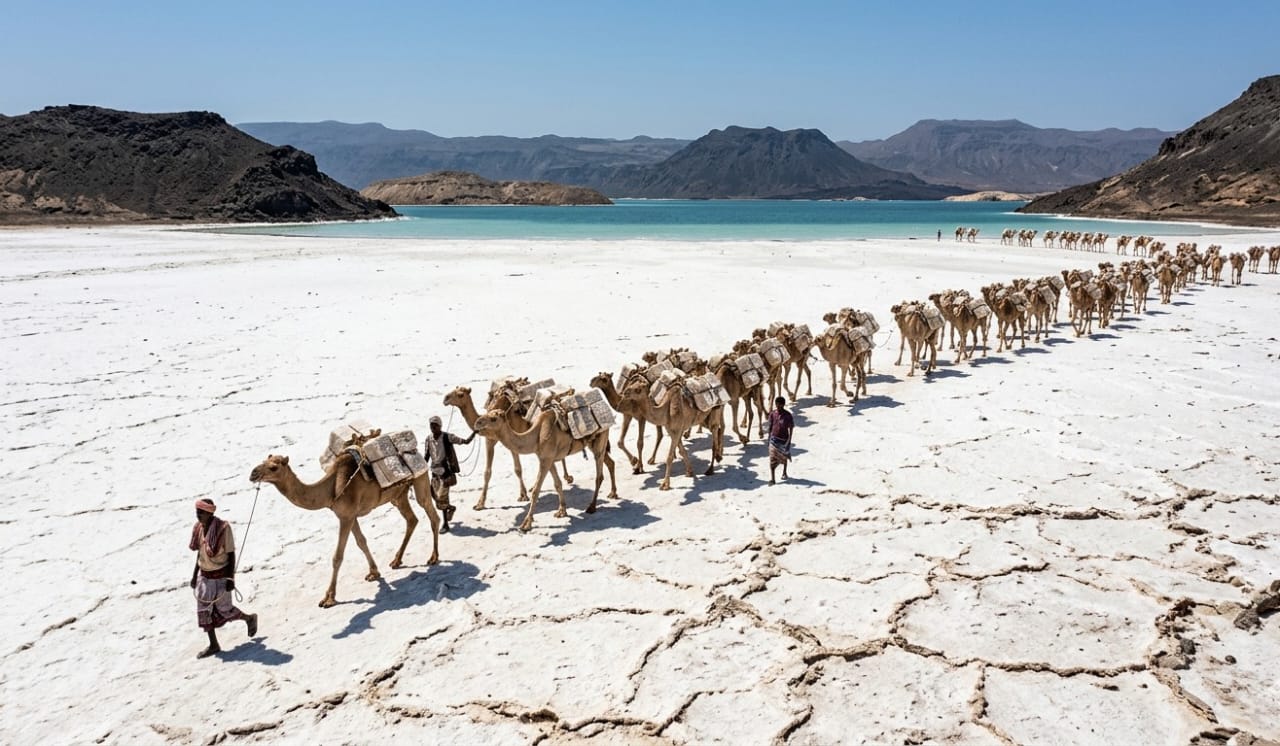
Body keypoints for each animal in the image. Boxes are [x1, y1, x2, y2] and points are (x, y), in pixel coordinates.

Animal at [249, 452, 440, 608]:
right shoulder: (350, 516)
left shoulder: (346, 517)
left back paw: (433, 558)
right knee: (412, 520)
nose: (253, 474)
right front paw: (373, 573)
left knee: (431, 514)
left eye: (273, 467)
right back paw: (396, 560)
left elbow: (337, 557)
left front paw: (329, 598)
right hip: (398, 495)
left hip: (420, 479)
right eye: (264, 460)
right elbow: (361, 542)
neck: (330, 489)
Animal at [470, 405, 618, 532]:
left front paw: (526, 524)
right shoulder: (548, 459)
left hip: (601, 438)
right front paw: (562, 511)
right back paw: (613, 493)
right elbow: (557, 484)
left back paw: (592, 507)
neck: (536, 435)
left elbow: (536, 490)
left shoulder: (546, 459)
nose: (477, 423)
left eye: (493, 418)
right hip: (593, 443)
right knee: (610, 462)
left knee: (599, 474)